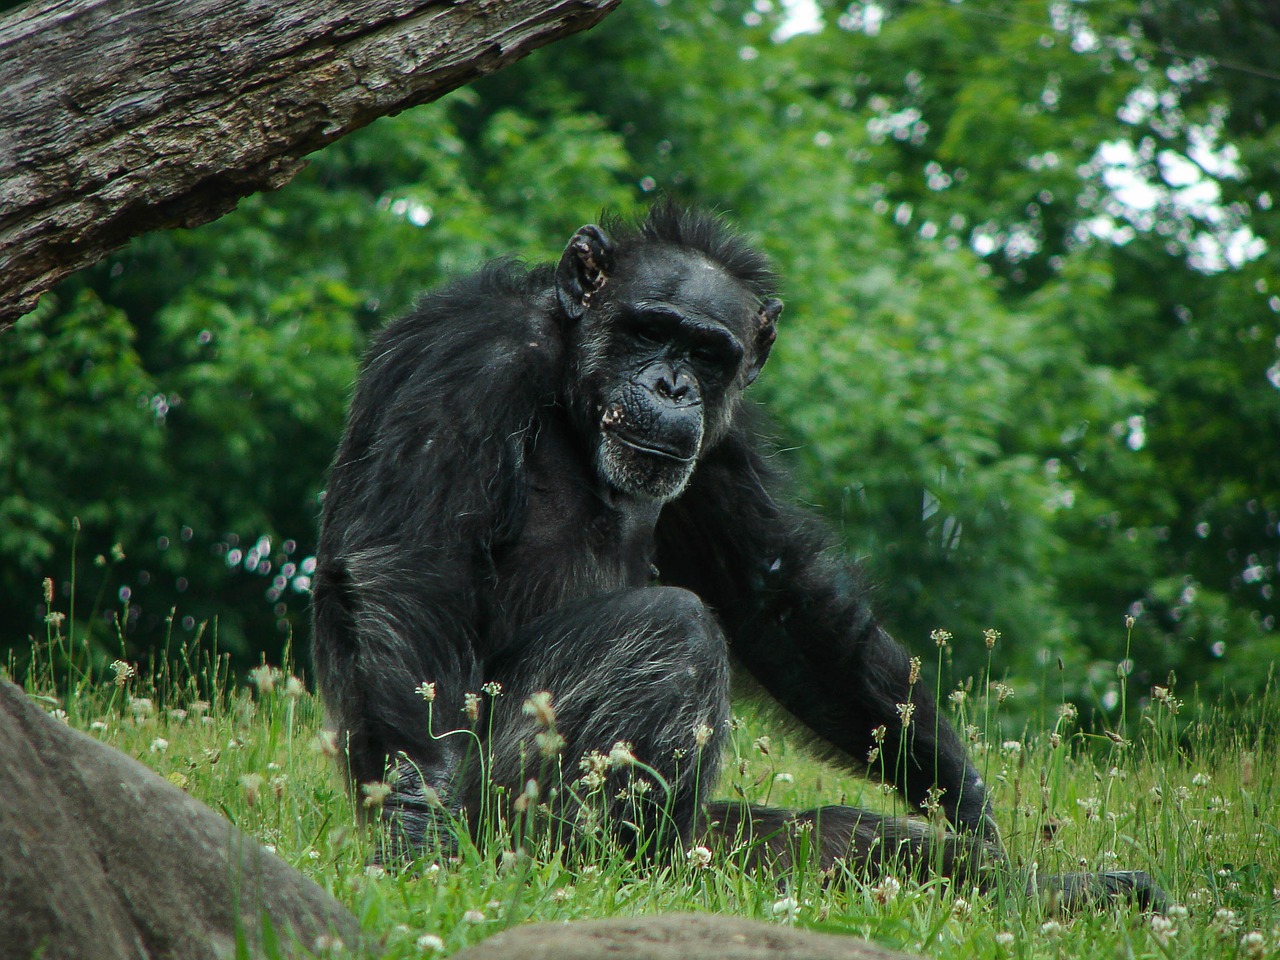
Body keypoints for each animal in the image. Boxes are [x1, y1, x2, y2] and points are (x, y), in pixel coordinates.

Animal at [312, 203, 1162, 911]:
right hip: (503, 809)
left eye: (708, 351)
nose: (672, 384)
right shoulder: (466, 359)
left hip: (717, 847)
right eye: (649, 329)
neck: (566, 373)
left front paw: (965, 799)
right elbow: (418, 566)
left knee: (837, 837)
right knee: (669, 631)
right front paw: (417, 836)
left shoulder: (725, 442)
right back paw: (595, 868)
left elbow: (773, 595)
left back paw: (1050, 892)